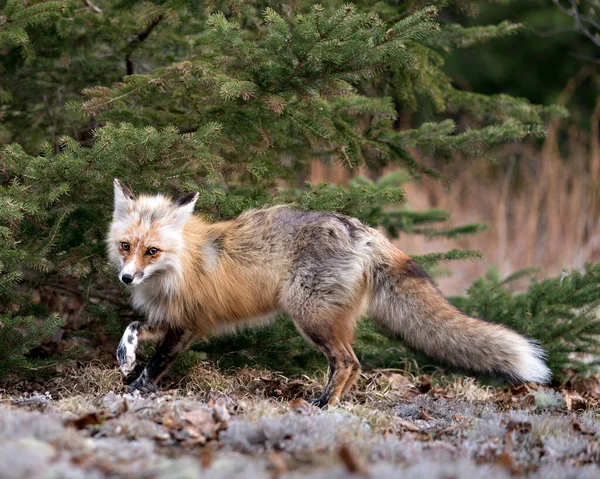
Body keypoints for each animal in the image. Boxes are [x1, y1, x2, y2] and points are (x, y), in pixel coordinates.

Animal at [110, 181, 552, 408]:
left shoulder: (187, 324)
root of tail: (363, 229)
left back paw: (323, 406)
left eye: (152, 251)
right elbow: (132, 328)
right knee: (352, 366)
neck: (176, 266)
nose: (127, 278)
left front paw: (134, 391)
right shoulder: (167, 318)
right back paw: (330, 403)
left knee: (350, 363)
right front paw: (125, 357)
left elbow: (156, 365)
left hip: (311, 318)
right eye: (125, 246)